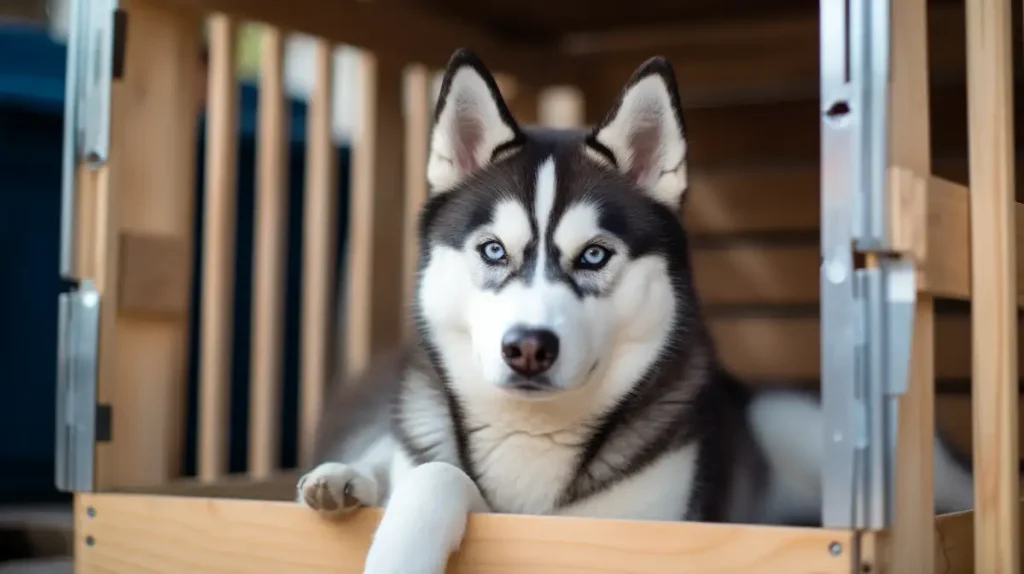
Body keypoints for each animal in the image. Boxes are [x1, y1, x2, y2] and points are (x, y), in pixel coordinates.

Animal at [294, 50, 974, 572]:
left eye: (594, 255)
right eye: (493, 250)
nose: (528, 347)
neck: (533, 437)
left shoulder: (637, 528)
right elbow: (436, 473)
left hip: (791, 420)